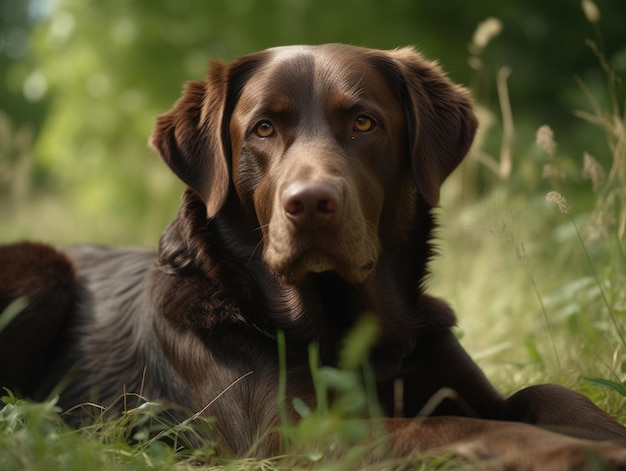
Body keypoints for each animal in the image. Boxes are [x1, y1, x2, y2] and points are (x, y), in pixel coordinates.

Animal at [1, 44, 624, 468]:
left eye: (364, 121)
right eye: (263, 128)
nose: (309, 203)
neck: (352, 336)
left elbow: (548, 392)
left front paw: (602, 433)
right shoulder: (304, 434)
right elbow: (457, 428)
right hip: (42, 267)